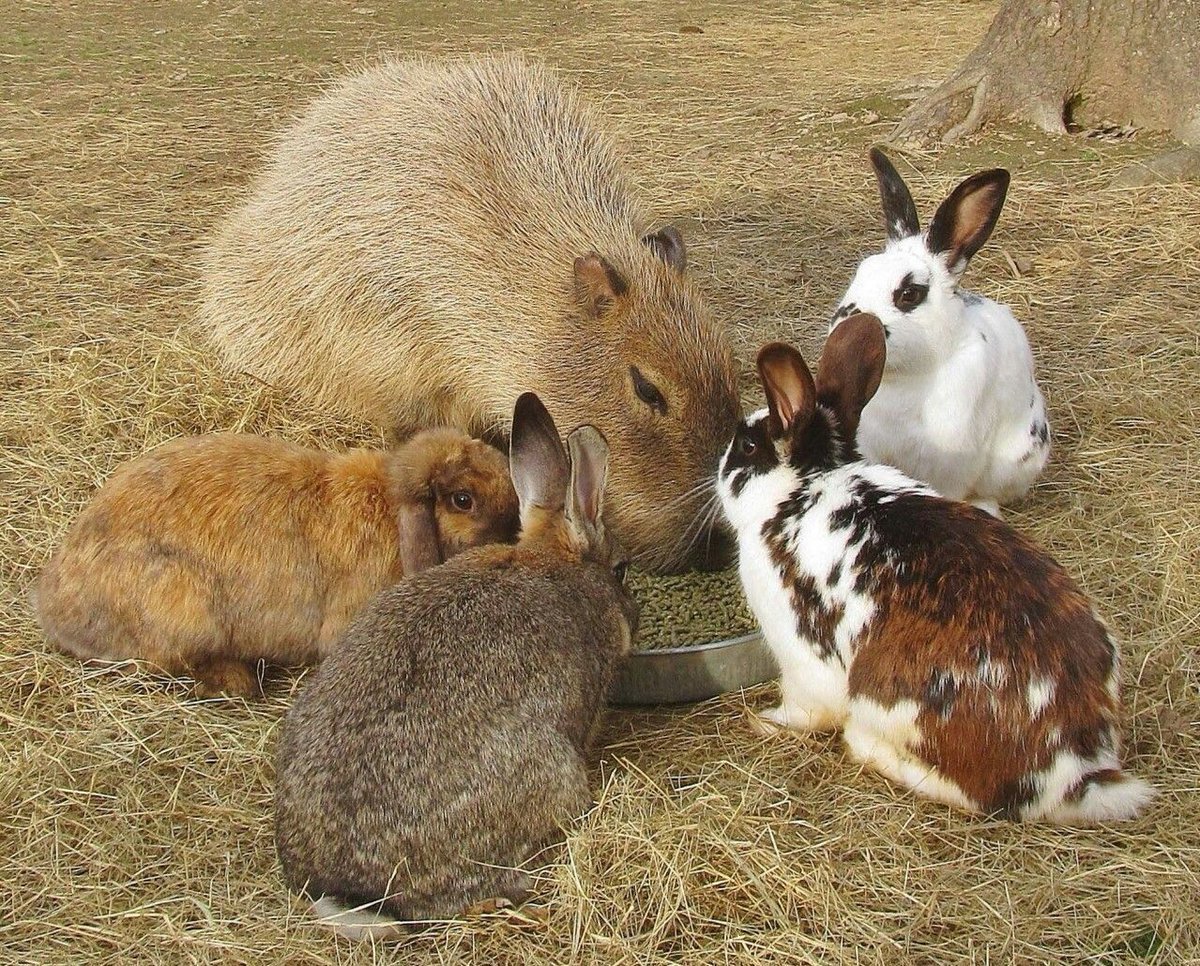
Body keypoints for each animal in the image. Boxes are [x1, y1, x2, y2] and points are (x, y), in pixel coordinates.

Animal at [717, 312, 1152, 824]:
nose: (717, 466)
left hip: (886, 701)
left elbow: (805, 709)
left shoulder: (803, 659)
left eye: (747, 446)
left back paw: (871, 750)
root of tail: (1073, 769)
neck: (801, 490)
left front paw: (767, 722)